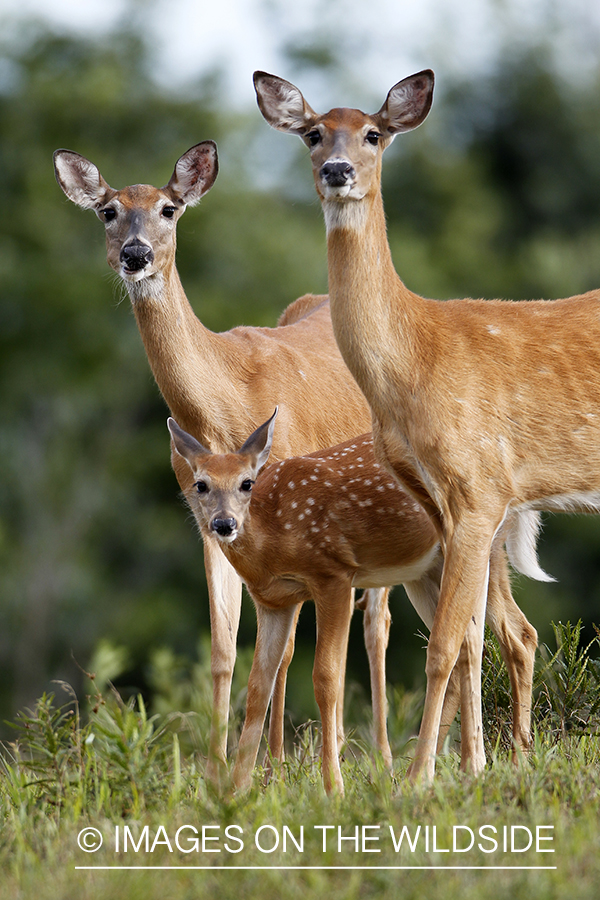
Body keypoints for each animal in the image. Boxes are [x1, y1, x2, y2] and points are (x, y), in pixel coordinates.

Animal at [169, 410, 544, 796]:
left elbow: (326, 677)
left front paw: (333, 786)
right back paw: (465, 765)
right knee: (476, 640)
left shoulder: (333, 575)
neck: (274, 530)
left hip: (483, 552)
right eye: (200, 485)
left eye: (247, 483)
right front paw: (237, 790)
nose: (224, 523)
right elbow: (258, 687)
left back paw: (508, 761)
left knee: (515, 635)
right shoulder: (273, 601)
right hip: (426, 571)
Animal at [253, 72, 596, 780]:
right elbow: (464, 638)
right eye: (312, 132)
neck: (418, 359)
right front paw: (467, 768)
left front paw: (418, 778)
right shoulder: (439, 502)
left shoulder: (479, 487)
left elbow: (442, 644)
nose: (336, 171)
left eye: (374, 133)